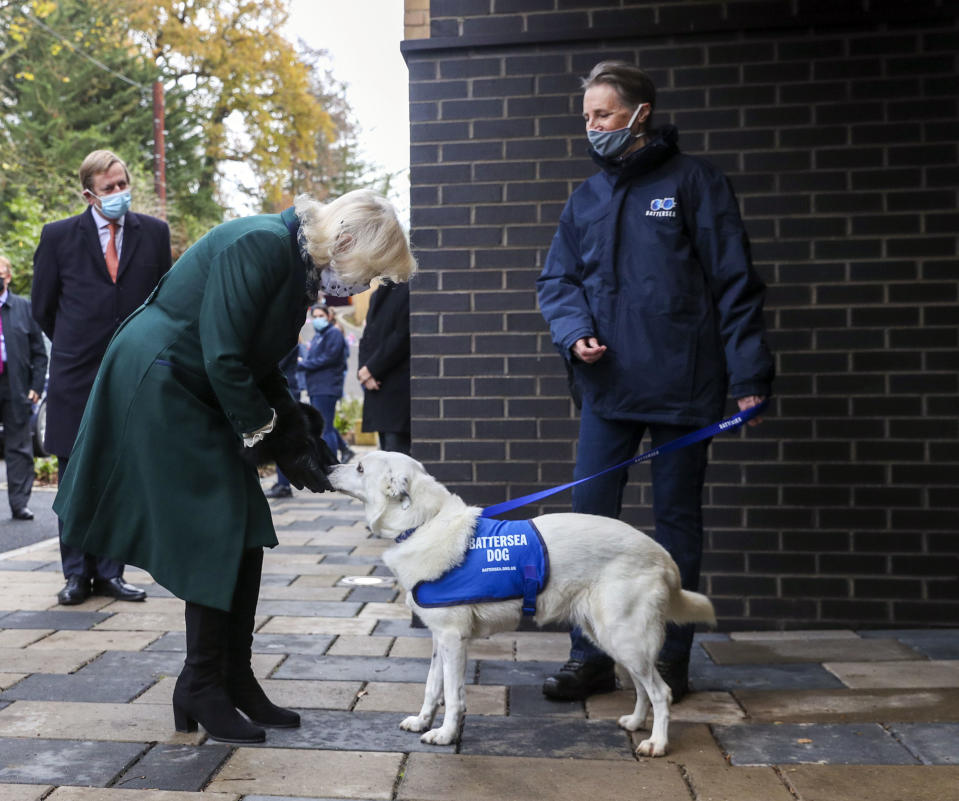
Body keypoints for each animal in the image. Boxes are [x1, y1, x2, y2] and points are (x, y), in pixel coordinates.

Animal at [330, 450, 712, 756]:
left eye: (360, 467)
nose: (330, 467)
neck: (424, 524)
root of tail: (663, 555)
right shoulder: (441, 638)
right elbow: (431, 686)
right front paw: (423, 722)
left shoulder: (454, 639)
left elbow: (453, 696)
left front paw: (445, 735)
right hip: (613, 637)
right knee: (641, 686)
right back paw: (634, 722)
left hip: (624, 636)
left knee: (661, 692)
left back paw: (657, 743)